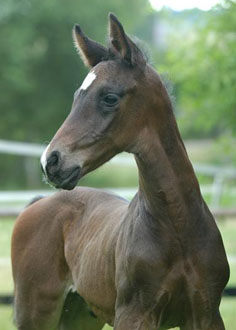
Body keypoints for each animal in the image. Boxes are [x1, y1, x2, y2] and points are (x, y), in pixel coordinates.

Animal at [11, 13, 229, 330]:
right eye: (77, 97)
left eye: (110, 98)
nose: (50, 161)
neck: (178, 225)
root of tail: (37, 203)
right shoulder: (134, 314)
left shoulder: (206, 313)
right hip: (35, 310)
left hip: (79, 315)